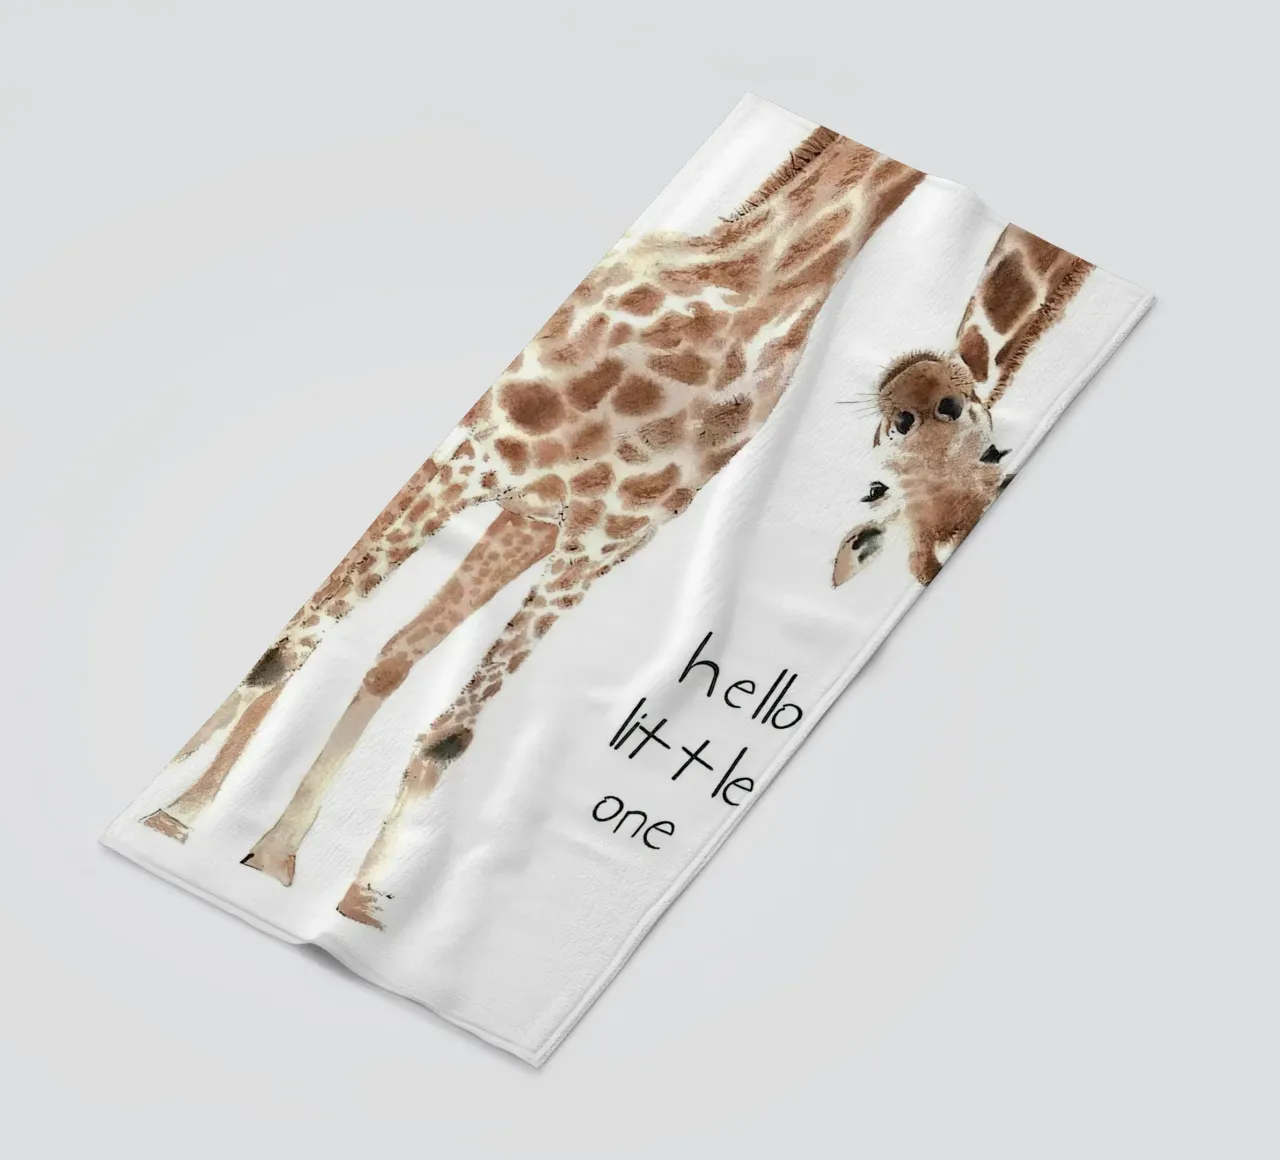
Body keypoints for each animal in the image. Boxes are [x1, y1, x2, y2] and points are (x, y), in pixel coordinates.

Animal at [142, 126, 927, 927]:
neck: (755, 288)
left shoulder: (589, 545)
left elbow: (449, 733)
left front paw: (356, 896)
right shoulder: (471, 464)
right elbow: (291, 647)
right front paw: (175, 809)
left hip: (519, 523)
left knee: (388, 649)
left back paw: (272, 844)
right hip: (455, 477)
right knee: (316, 620)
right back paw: (190, 803)